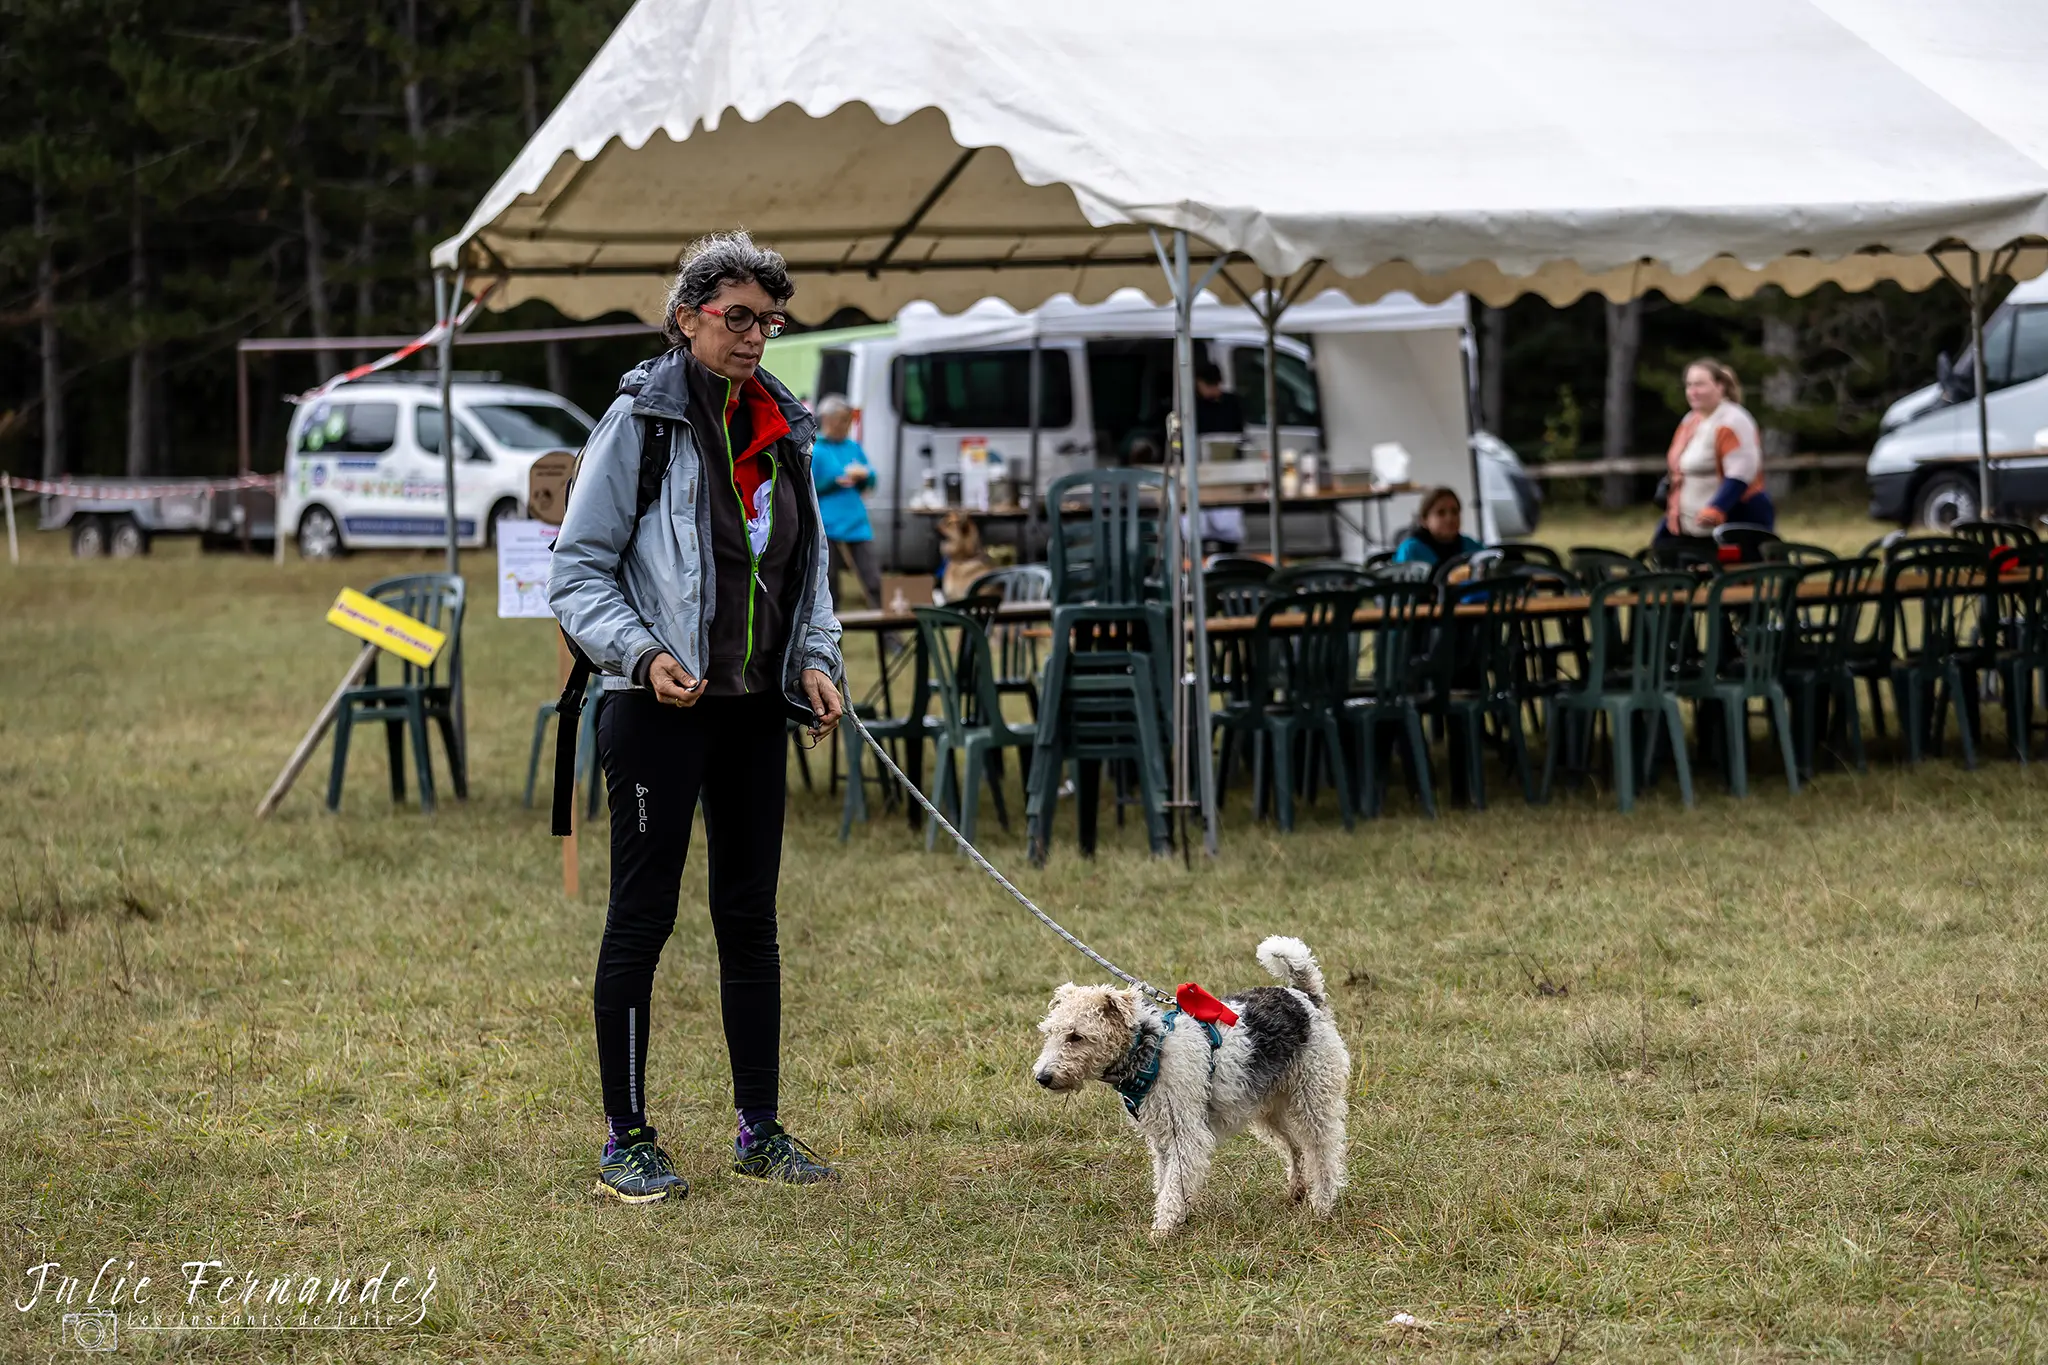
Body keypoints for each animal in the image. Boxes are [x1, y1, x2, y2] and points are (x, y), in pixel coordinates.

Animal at [1032, 941, 1351, 1236]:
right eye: (1050, 1032)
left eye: (1076, 1036)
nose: (1042, 1077)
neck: (1150, 1050)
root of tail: (1305, 997)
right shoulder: (1161, 1134)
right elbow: (1167, 1180)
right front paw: (1175, 1218)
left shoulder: (1185, 1133)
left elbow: (1174, 1185)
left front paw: (1160, 1231)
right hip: (1269, 1107)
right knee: (1297, 1146)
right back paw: (1297, 1190)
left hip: (1314, 1096)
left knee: (1324, 1153)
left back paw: (1321, 1206)